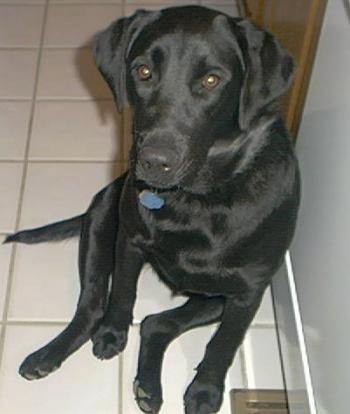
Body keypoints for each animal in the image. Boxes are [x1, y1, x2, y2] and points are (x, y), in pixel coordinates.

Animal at [4, 6, 300, 414]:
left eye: (211, 80)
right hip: (99, 223)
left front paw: (206, 391)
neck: (198, 200)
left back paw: (148, 387)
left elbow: (223, 345)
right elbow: (121, 294)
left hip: (215, 298)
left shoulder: (249, 291)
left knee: (157, 324)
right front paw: (112, 333)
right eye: (143, 71)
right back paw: (49, 355)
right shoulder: (128, 241)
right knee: (92, 305)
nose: (154, 162)